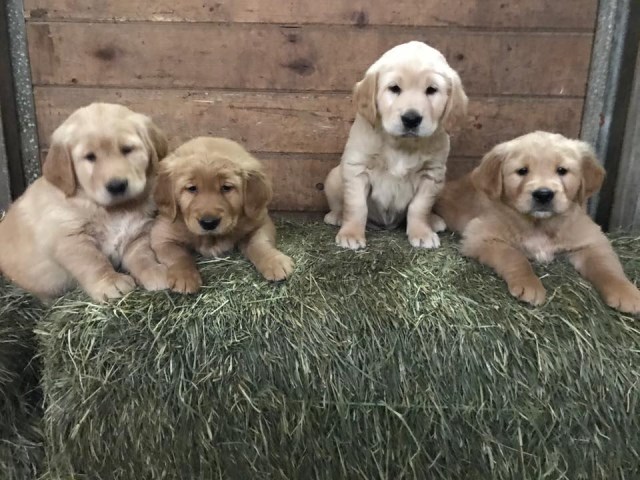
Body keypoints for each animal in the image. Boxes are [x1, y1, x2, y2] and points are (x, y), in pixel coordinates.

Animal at [0, 103, 169, 302]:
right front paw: (110, 283)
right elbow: (94, 262)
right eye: (90, 157)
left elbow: (143, 256)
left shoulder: (136, 233)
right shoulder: (71, 239)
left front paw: (155, 271)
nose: (117, 185)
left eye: (127, 149)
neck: (111, 210)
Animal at [150, 136, 292, 292]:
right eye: (191, 188)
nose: (209, 223)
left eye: (226, 187)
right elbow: (178, 255)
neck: (212, 238)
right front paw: (184, 276)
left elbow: (259, 243)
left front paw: (274, 261)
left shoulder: (260, 221)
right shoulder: (161, 235)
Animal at [322, 40, 468, 249]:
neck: (401, 144)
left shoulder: (431, 174)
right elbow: (357, 205)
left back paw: (433, 220)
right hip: (334, 177)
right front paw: (351, 234)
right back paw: (337, 216)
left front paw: (422, 233)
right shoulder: (357, 168)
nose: (411, 119)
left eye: (432, 90)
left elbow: (419, 207)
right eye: (394, 88)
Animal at [436, 130, 640, 316]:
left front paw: (626, 292)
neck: (540, 224)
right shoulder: (479, 236)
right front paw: (528, 283)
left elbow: (607, 267)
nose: (543, 194)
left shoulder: (592, 241)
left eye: (562, 170)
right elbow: (514, 255)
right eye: (522, 171)